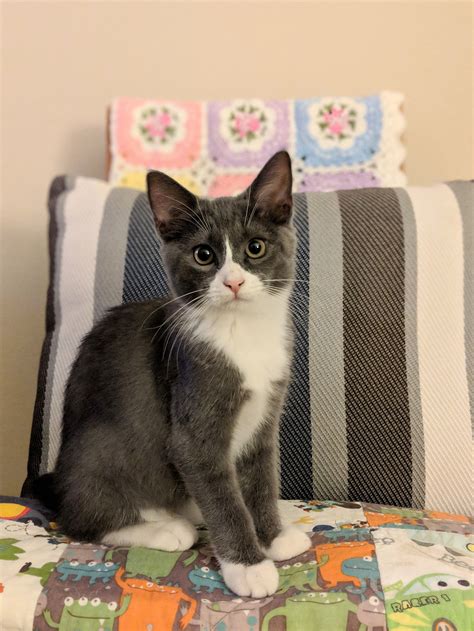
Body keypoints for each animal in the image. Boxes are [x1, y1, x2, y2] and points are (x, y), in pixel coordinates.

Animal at [32, 151, 312, 596]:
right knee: (83, 519)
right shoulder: (192, 415)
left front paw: (274, 537)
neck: (241, 333)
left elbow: (260, 479)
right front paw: (248, 566)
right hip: (101, 448)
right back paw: (163, 529)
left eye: (255, 247)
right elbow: (224, 499)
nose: (233, 282)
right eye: (203, 255)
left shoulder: (265, 415)